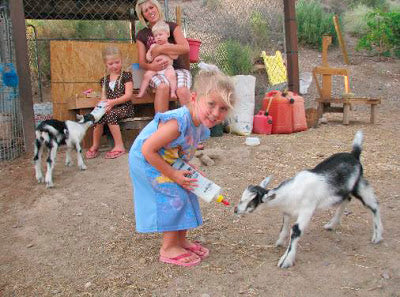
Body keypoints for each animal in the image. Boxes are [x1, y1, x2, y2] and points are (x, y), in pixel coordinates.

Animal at [234, 131, 384, 268]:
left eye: (251, 201)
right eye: (242, 198)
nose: (236, 209)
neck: (290, 193)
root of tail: (354, 155)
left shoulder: (307, 209)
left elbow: (295, 231)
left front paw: (286, 261)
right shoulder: (287, 211)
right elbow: (284, 227)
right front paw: (279, 242)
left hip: (359, 184)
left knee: (374, 205)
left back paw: (377, 236)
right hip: (343, 190)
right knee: (346, 200)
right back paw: (331, 225)